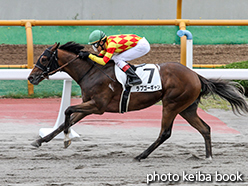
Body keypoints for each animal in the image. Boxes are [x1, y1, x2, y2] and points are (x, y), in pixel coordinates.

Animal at [27, 41, 248, 161]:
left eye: (44, 59)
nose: (31, 77)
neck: (91, 72)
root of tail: (196, 75)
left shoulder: (97, 106)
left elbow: (67, 111)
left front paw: (66, 140)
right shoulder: (89, 106)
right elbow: (66, 120)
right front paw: (39, 141)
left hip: (171, 105)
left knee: (165, 133)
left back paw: (141, 155)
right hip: (187, 108)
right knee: (205, 128)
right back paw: (209, 156)